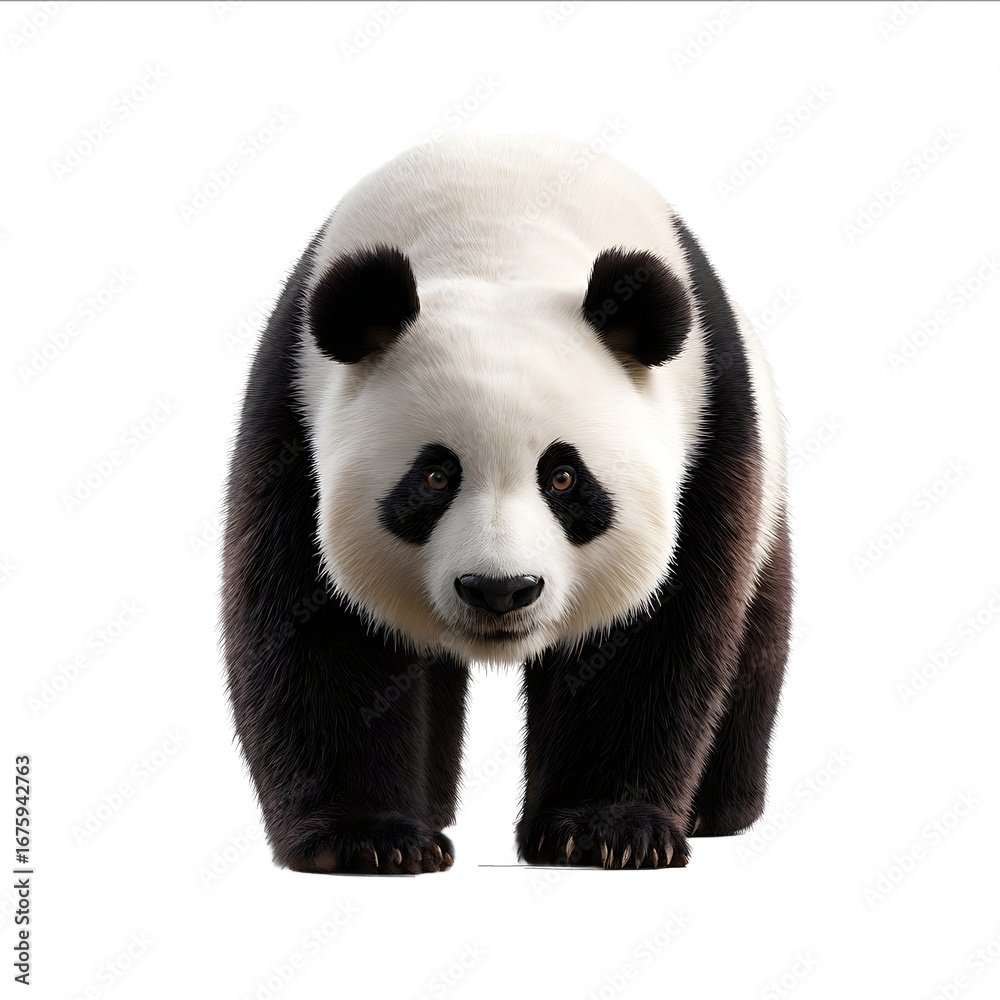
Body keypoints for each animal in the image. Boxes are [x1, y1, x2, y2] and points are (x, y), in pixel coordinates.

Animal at [221, 133, 791, 874]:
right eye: (435, 477)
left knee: (756, 636)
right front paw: (371, 839)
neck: (498, 235)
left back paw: (717, 808)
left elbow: (650, 638)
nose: (500, 591)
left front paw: (604, 832)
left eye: (565, 479)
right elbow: (316, 631)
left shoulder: (707, 435)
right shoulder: (291, 416)